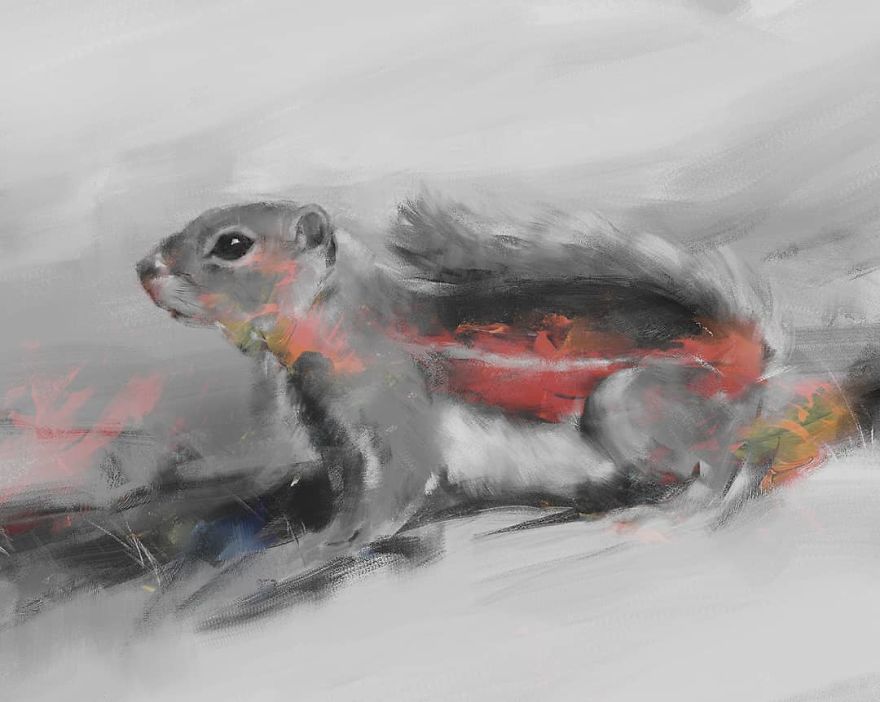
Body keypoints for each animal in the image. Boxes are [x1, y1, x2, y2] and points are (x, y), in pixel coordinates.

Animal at [134, 196, 865, 577]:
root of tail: (739, 353)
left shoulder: (397, 424)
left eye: (232, 245)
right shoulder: (337, 437)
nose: (144, 268)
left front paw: (318, 545)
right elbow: (353, 490)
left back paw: (667, 509)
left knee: (726, 463)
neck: (346, 319)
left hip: (629, 406)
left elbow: (389, 494)